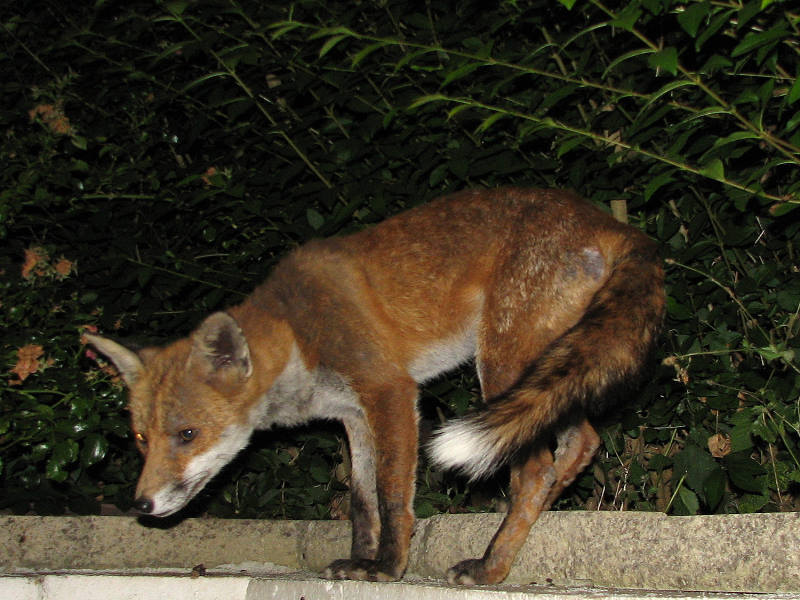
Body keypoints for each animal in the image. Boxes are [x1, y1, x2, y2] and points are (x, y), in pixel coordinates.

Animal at [86, 186, 664, 580]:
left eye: (187, 435)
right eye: (141, 439)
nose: (141, 506)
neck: (298, 334)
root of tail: (608, 221)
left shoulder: (389, 392)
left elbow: (391, 497)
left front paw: (387, 568)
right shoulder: (352, 414)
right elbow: (361, 501)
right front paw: (359, 560)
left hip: (500, 363)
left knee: (535, 469)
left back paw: (491, 567)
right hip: (543, 367)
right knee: (581, 441)